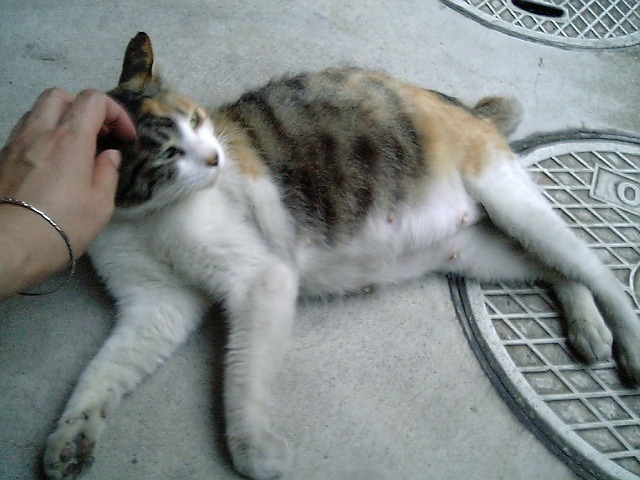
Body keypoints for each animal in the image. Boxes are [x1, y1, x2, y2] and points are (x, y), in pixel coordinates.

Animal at [44, 32, 640, 480]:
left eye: (195, 121)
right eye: (169, 153)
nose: (215, 157)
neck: (143, 218)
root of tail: (466, 108)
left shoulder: (261, 279)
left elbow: (243, 377)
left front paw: (252, 449)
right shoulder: (156, 306)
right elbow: (103, 371)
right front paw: (71, 437)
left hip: (511, 203)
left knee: (596, 268)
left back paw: (627, 344)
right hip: (479, 251)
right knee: (558, 268)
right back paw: (587, 327)